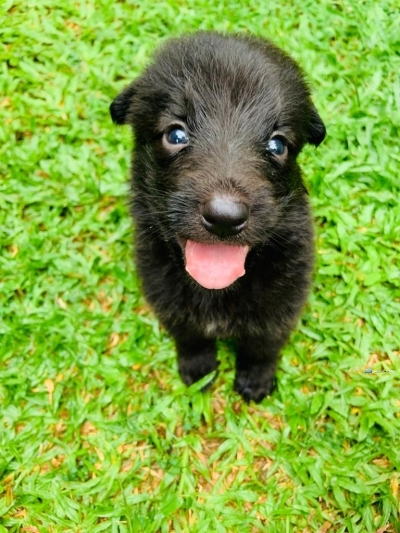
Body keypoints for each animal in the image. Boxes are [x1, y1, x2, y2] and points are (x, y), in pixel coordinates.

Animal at [110, 32, 324, 400]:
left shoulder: (283, 300)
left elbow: (263, 344)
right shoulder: (165, 295)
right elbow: (190, 336)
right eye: (176, 135)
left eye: (278, 145)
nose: (225, 217)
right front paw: (198, 371)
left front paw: (256, 381)